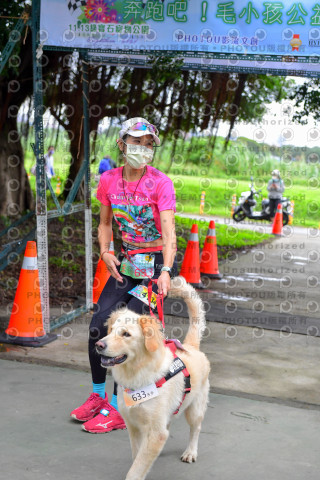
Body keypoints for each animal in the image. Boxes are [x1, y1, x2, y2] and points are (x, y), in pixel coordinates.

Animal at [95, 278, 210, 480]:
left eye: (126, 334)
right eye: (111, 331)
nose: (98, 345)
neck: (137, 374)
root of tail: (191, 347)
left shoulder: (155, 432)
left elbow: (136, 468)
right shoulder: (133, 426)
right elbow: (137, 457)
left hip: (195, 409)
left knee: (195, 429)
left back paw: (190, 452)